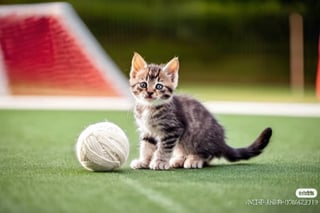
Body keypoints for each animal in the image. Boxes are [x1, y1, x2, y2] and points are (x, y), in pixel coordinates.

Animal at [129, 52, 272, 171]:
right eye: (143, 84)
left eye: (159, 86)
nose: (150, 92)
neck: (149, 108)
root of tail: (221, 142)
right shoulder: (147, 131)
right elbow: (146, 147)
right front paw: (144, 161)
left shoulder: (173, 129)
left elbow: (164, 148)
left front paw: (159, 161)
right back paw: (179, 160)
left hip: (199, 137)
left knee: (207, 155)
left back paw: (194, 159)